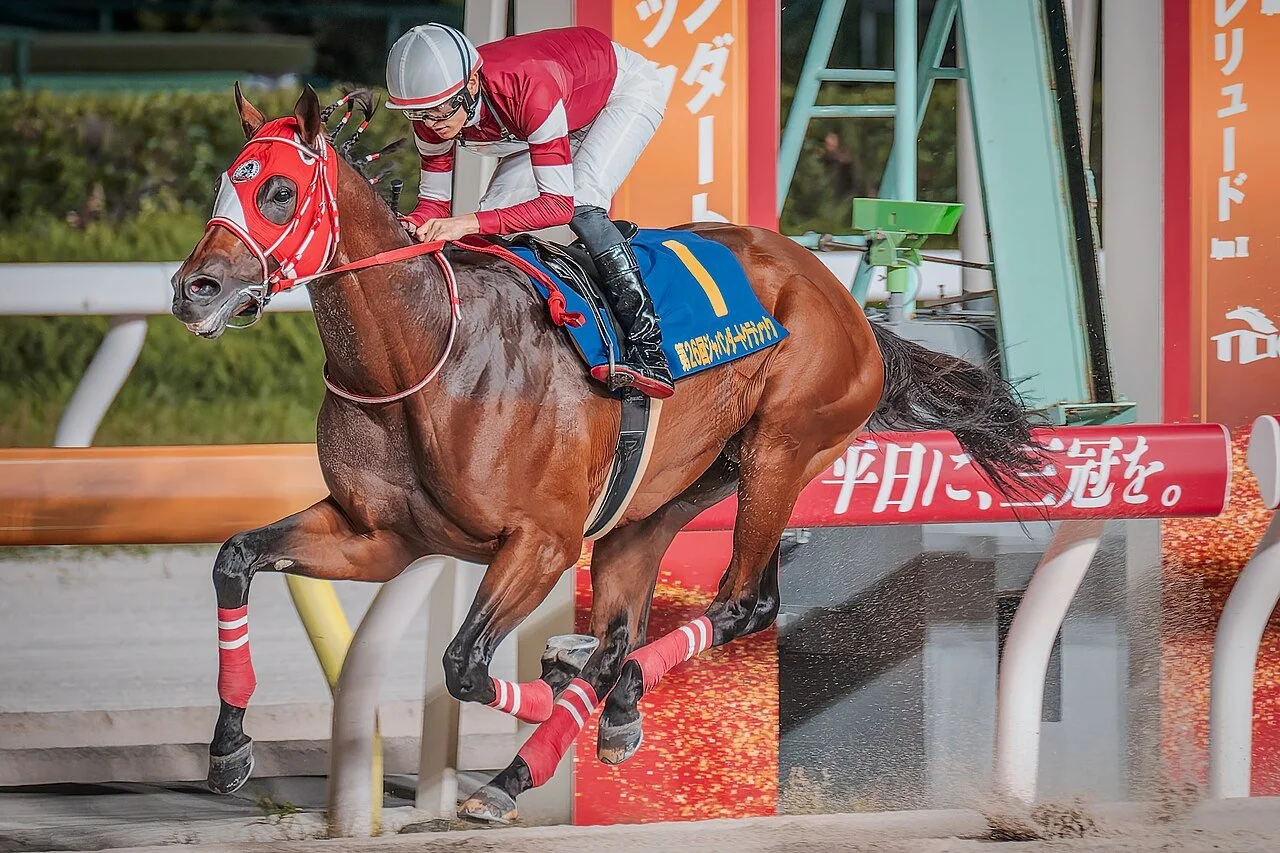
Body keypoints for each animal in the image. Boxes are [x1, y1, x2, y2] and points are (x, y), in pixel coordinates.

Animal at [170, 84, 1042, 824]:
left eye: (278, 190)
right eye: (221, 182)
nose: (193, 289)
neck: (424, 354)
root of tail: (843, 301)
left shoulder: (542, 541)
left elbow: (464, 662)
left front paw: (550, 698)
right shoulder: (377, 536)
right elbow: (235, 557)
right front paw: (228, 749)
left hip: (780, 451)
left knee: (743, 602)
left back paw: (570, 719)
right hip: (665, 493)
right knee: (635, 622)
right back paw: (596, 712)